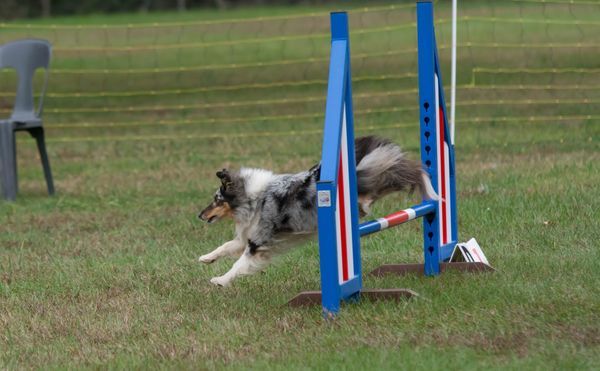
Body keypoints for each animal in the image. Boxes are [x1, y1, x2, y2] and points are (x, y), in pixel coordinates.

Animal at [197, 135, 436, 286]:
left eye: (216, 200)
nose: (199, 215)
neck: (253, 198)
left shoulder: (258, 241)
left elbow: (239, 264)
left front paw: (220, 280)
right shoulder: (247, 236)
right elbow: (225, 246)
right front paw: (206, 258)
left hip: (367, 176)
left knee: (399, 173)